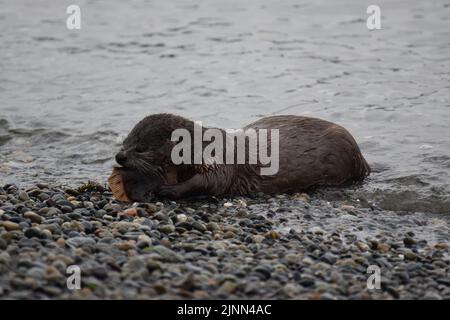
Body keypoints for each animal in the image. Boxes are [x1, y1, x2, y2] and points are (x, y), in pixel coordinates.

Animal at [112, 114, 370, 201]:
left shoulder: (219, 160)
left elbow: (209, 182)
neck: (202, 146)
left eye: (140, 148)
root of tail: (361, 157)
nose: (119, 156)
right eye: (126, 141)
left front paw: (168, 190)